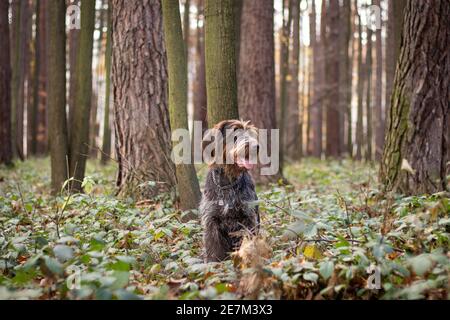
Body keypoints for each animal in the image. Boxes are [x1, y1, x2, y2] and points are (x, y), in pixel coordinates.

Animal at [200, 120, 260, 262]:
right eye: (235, 135)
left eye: (250, 133)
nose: (256, 146)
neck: (227, 184)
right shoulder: (211, 220)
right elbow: (213, 247)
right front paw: (214, 263)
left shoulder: (249, 218)